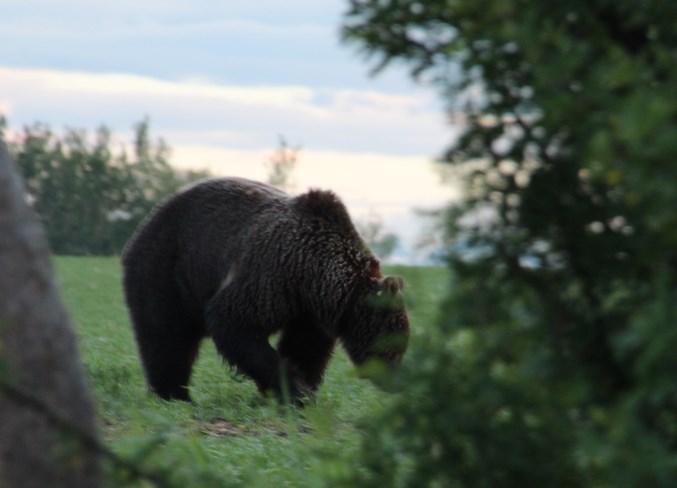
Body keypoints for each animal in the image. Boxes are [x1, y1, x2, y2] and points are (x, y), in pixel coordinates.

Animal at [121, 177, 406, 402]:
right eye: (395, 345)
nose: (396, 382)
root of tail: (145, 222)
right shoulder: (272, 273)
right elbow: (235, 322)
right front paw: (295, 390)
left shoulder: (309, 310)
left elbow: (305, 346)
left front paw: (300, 390)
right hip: (169, 268)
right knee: (166, 333)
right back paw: (173, 393)